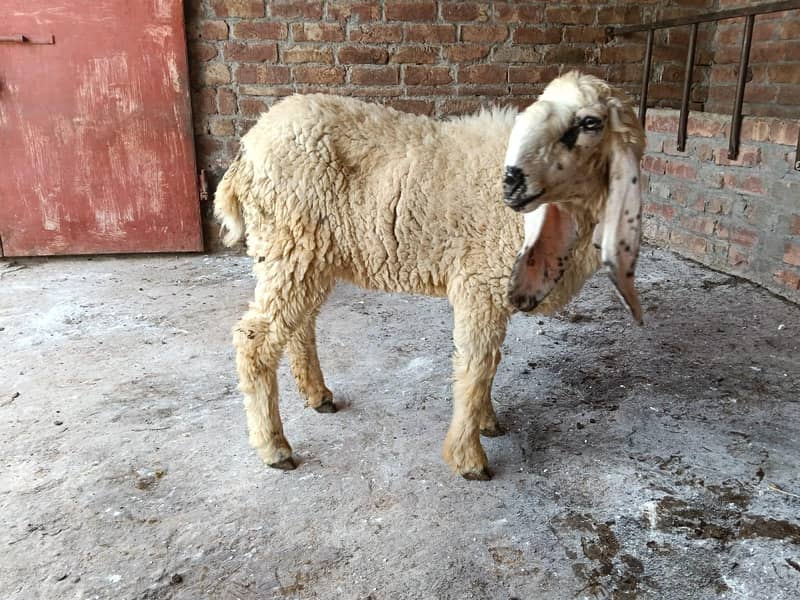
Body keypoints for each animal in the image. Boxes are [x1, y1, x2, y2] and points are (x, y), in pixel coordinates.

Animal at [214, 71, 646, 480]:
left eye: (590, 123)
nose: (511, 182)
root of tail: (248, 148)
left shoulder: (490, 290)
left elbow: (488, 364)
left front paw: (486, 422)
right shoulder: (478, 283)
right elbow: (477, 365)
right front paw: (469, 457)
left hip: (307, 257)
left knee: (298, 325)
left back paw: (317, 395)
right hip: (289, 245)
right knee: (256, 338)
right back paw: (274, 448)